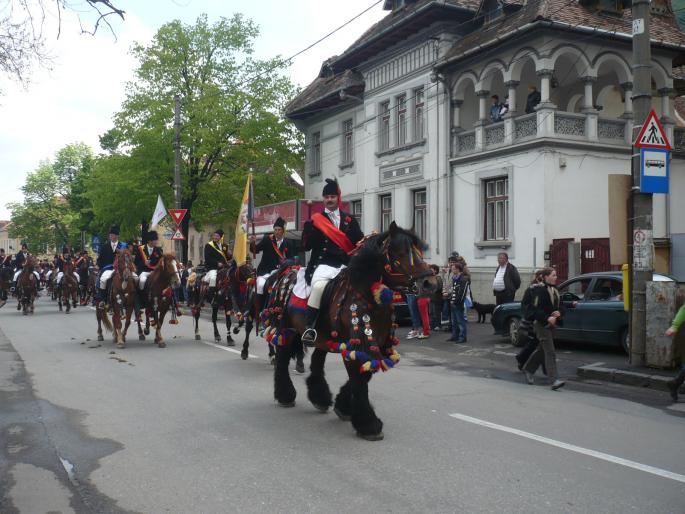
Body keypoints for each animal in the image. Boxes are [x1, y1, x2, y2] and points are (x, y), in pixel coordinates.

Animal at [264, 222, 436, 438]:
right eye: (401, 253)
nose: (430, 284)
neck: (367, 294)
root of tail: (286, 272)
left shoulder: (371, 344)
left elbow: (364, 373)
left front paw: (344, 407)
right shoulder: (358, 341)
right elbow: (359, 380)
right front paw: (368, 424)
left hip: (323, 337)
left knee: (317, 360)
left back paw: (319, 398)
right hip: (286, 327)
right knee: (282, 358)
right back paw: (285, 395)